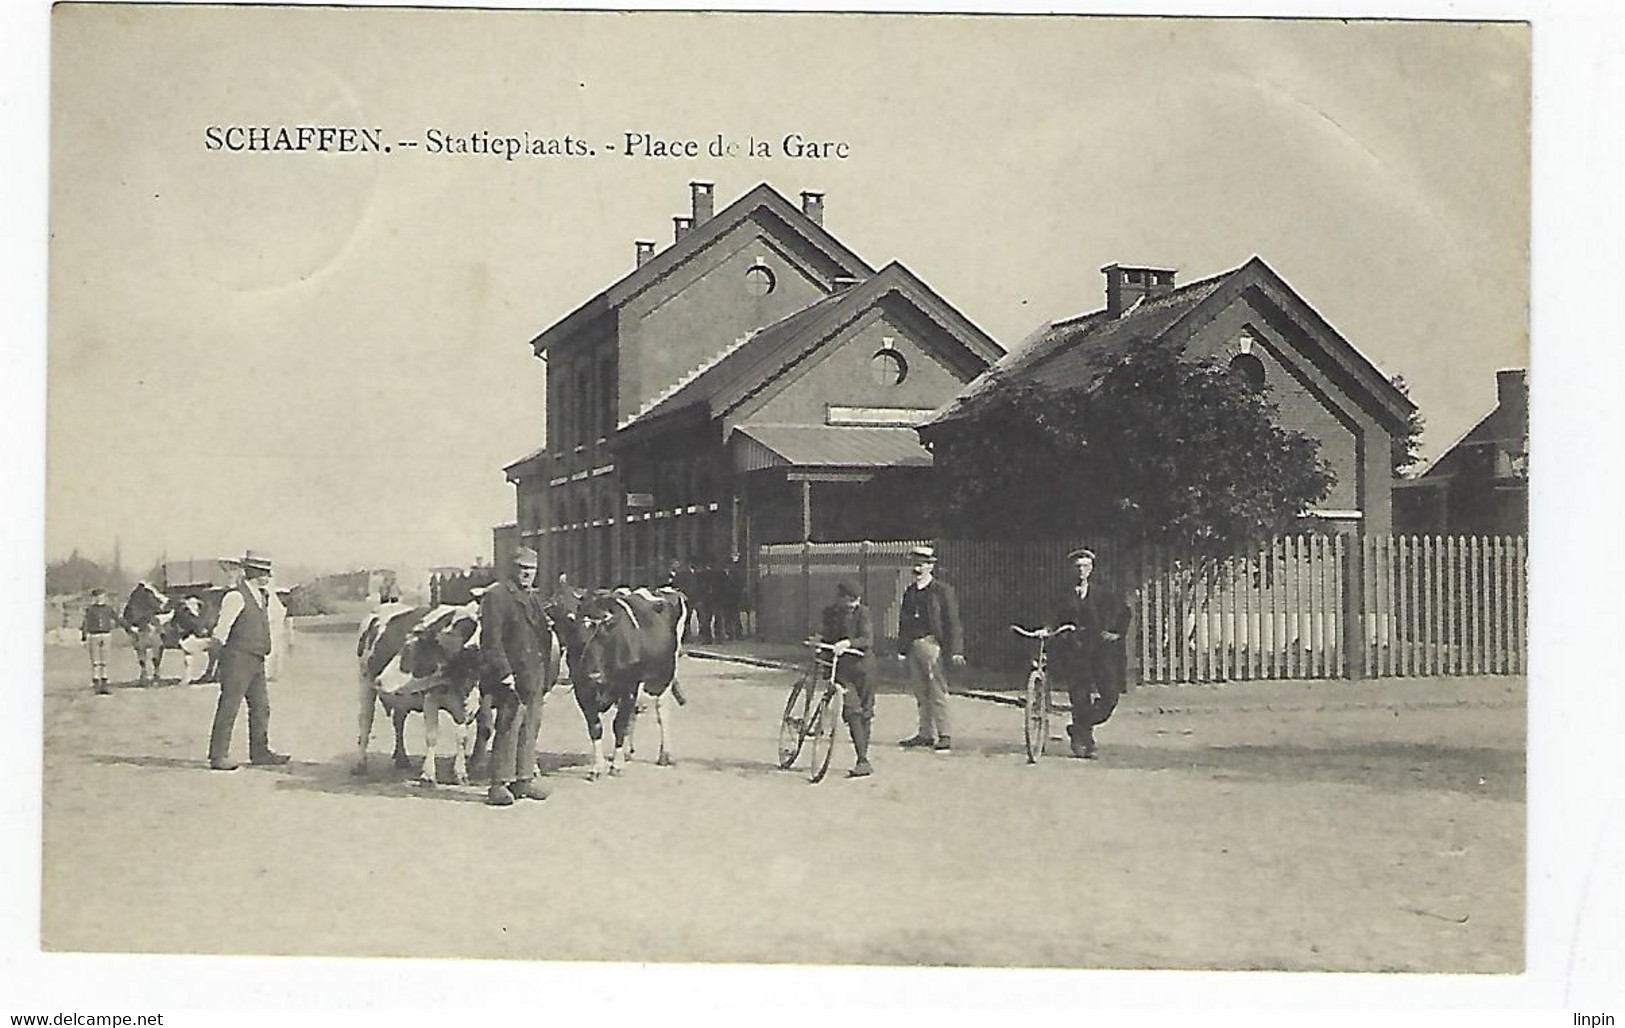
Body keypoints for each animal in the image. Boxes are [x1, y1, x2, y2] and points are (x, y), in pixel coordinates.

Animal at [349, 600, 487, 786]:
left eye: (412, 650)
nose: (379, 680)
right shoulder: (430, 698)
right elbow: (431, 736)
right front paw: (428, 774)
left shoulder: (469, 704)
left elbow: (462, 738)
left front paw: (460, 773)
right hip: (364, 682)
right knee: (365, 722)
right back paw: (360, 763)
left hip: (400, 698)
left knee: (398, 722)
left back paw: (401, 758)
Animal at [562, 584, 689, 776]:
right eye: (579, 639)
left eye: (605, 639)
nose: (593, 676)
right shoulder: (582, 690)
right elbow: (595, 727)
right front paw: (598, 766)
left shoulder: (628, 687)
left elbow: (619, 724)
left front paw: (616, 764)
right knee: (634, 714)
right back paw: (629, 752)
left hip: (665, 675)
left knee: (662, 713)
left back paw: (664, 754)